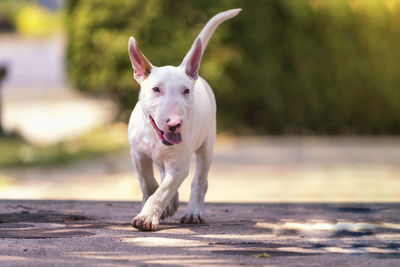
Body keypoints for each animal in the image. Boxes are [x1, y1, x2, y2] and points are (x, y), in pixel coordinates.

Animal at [128, 7, 241, 230]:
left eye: (186, 91)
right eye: (156, 89)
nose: (174, 124)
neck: (153, 135)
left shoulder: (179, 165)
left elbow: (163, 190)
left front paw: (147, 216)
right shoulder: (138, 153)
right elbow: (148, 183)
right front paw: (156, 206)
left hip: (207, 146)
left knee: (200, 180)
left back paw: (194, 212)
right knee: (162, 172)